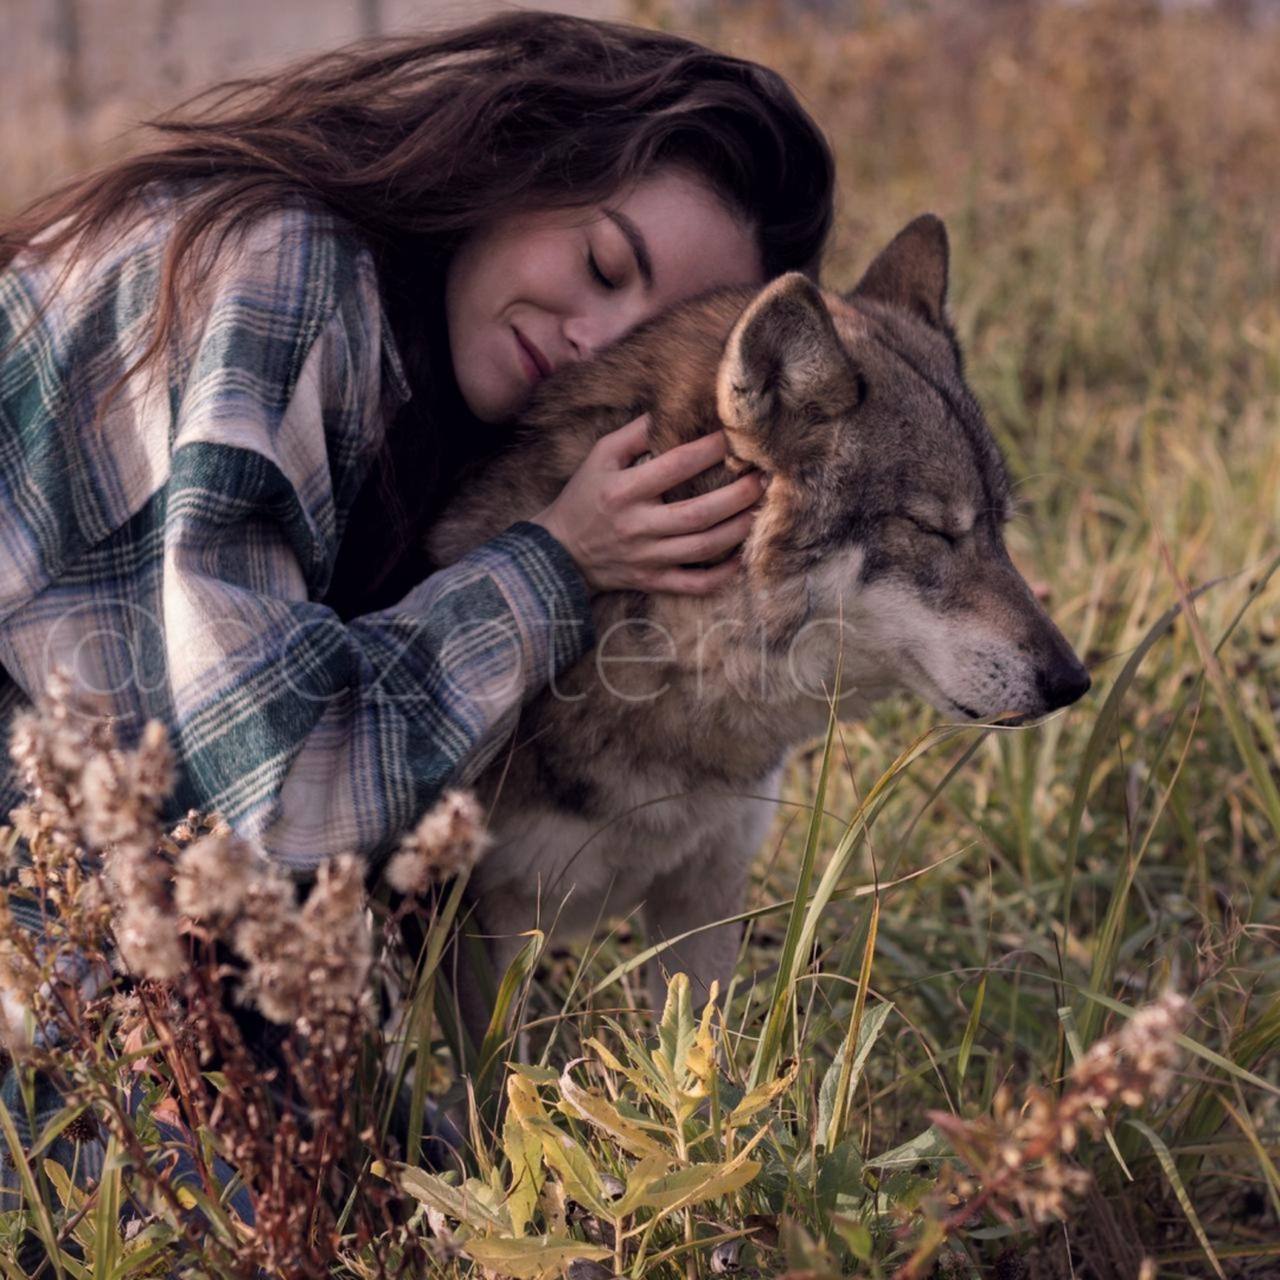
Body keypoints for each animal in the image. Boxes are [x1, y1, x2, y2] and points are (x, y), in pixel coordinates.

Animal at [430, 212, 1090, 1029]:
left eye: (1000, 526)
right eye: (934, 530)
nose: (1074, 681)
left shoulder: (706, 896)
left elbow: (701, 1054)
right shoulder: (490, 929)